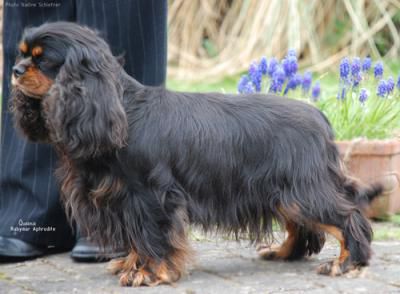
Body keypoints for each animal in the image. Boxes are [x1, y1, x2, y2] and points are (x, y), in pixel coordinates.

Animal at [10, 21, 382, 286]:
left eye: (42, 59)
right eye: (23, 54)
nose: (15, 70)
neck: (121, 109)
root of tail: (319, 115)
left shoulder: (151, 195)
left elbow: (152, 235)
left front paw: (148, 272)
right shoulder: (124, 198)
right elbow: (136, 237)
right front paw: (131, 263)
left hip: (304, 189)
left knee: (348, 216)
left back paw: (347, 262)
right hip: (284, 192)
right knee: (302, 225)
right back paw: (284, 252)